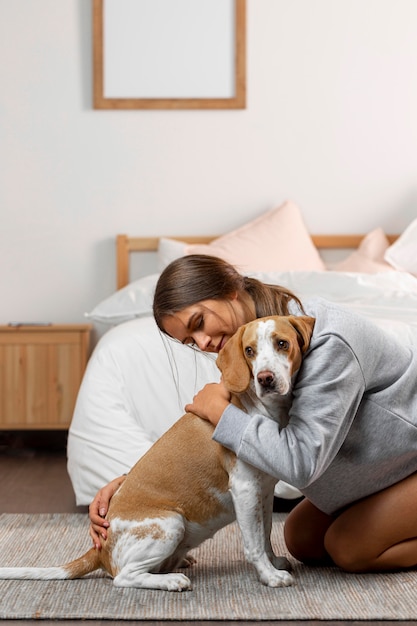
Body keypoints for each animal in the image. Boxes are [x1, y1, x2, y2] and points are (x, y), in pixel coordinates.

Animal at [0, 314, 312, 588]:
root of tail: (99, 551)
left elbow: (265, 534)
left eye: (282, 343)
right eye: (249, 351)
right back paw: (171, 580)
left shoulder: (264, 491)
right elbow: (254, 544)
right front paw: (269, 576)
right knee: (124, 577)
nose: (265, 378)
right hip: (172, 523)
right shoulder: (246, 490)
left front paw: (274, 563)